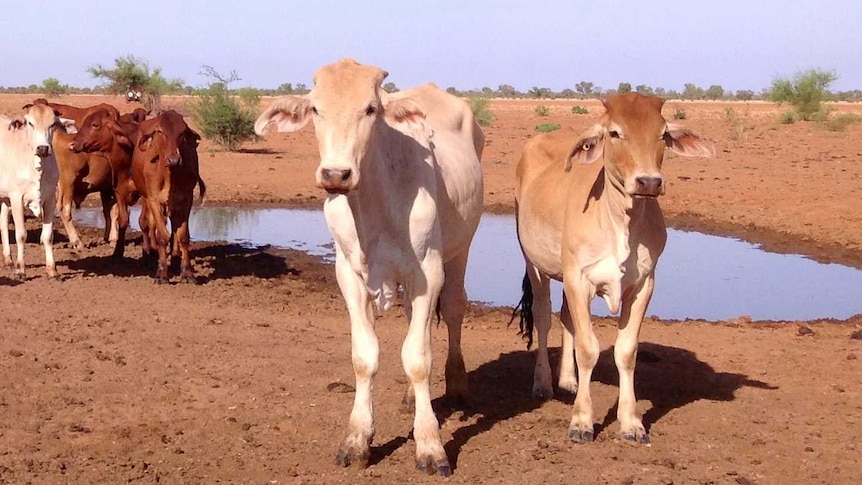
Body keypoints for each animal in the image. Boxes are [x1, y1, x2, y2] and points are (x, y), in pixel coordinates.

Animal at [0, 104, 76, 278]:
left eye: (52, 124)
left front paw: (52, 270)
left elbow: (47, 236)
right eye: (30, 123)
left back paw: (8, 260)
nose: (42, 148)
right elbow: (21, 234)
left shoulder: (50, 199)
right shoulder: (16, 198)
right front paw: (21, 268)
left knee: (2, 222)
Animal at [131, 110, 207, 282]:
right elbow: (161, 236)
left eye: (182, 133)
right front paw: (162, 272)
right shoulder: (153, 200)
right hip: (147, 198)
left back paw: (175, 258)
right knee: (147, 223)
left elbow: (183, 236)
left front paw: (187, 272)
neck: (169, 175)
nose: (174, 160)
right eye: (160, 131)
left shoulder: (186, 199)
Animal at [256, 57, 486, 476]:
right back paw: (412, 399)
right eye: (316, 109)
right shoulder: (349, 275)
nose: (336, 174)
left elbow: (418, 359)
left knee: (454, 309)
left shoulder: (427, 271)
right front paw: (357, 439)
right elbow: (365, 357)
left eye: (370, 109)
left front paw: (430, 445)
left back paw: (457, 384)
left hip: (461, 246)